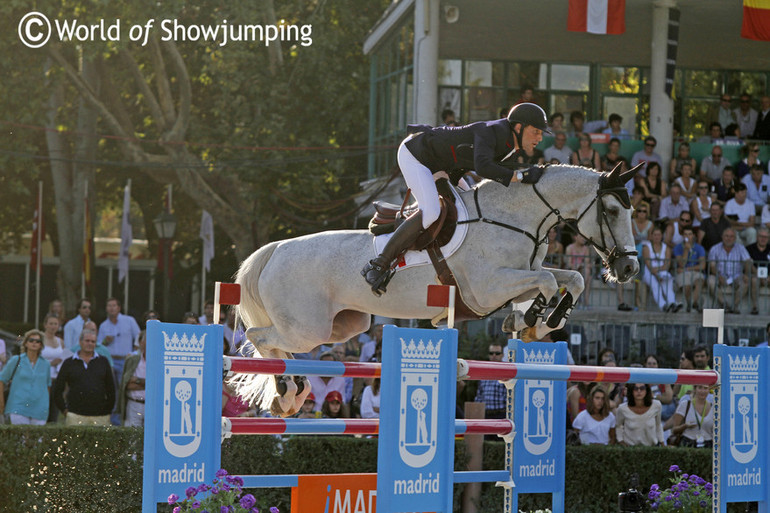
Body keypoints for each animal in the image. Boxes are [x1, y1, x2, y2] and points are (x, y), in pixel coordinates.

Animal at [232, 164, 636, 416]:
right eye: (613, 210)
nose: (629, 268)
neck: (514, 217)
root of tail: (275, 250)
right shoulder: (488, 289)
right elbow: (550, 282)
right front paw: (534, 320)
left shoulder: (519, 277)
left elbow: (571, 279)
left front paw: (544, 322)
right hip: (308, 327)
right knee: (258, 337)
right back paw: (286, 390)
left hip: (343, 326)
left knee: (278, 343)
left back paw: (292, 394)